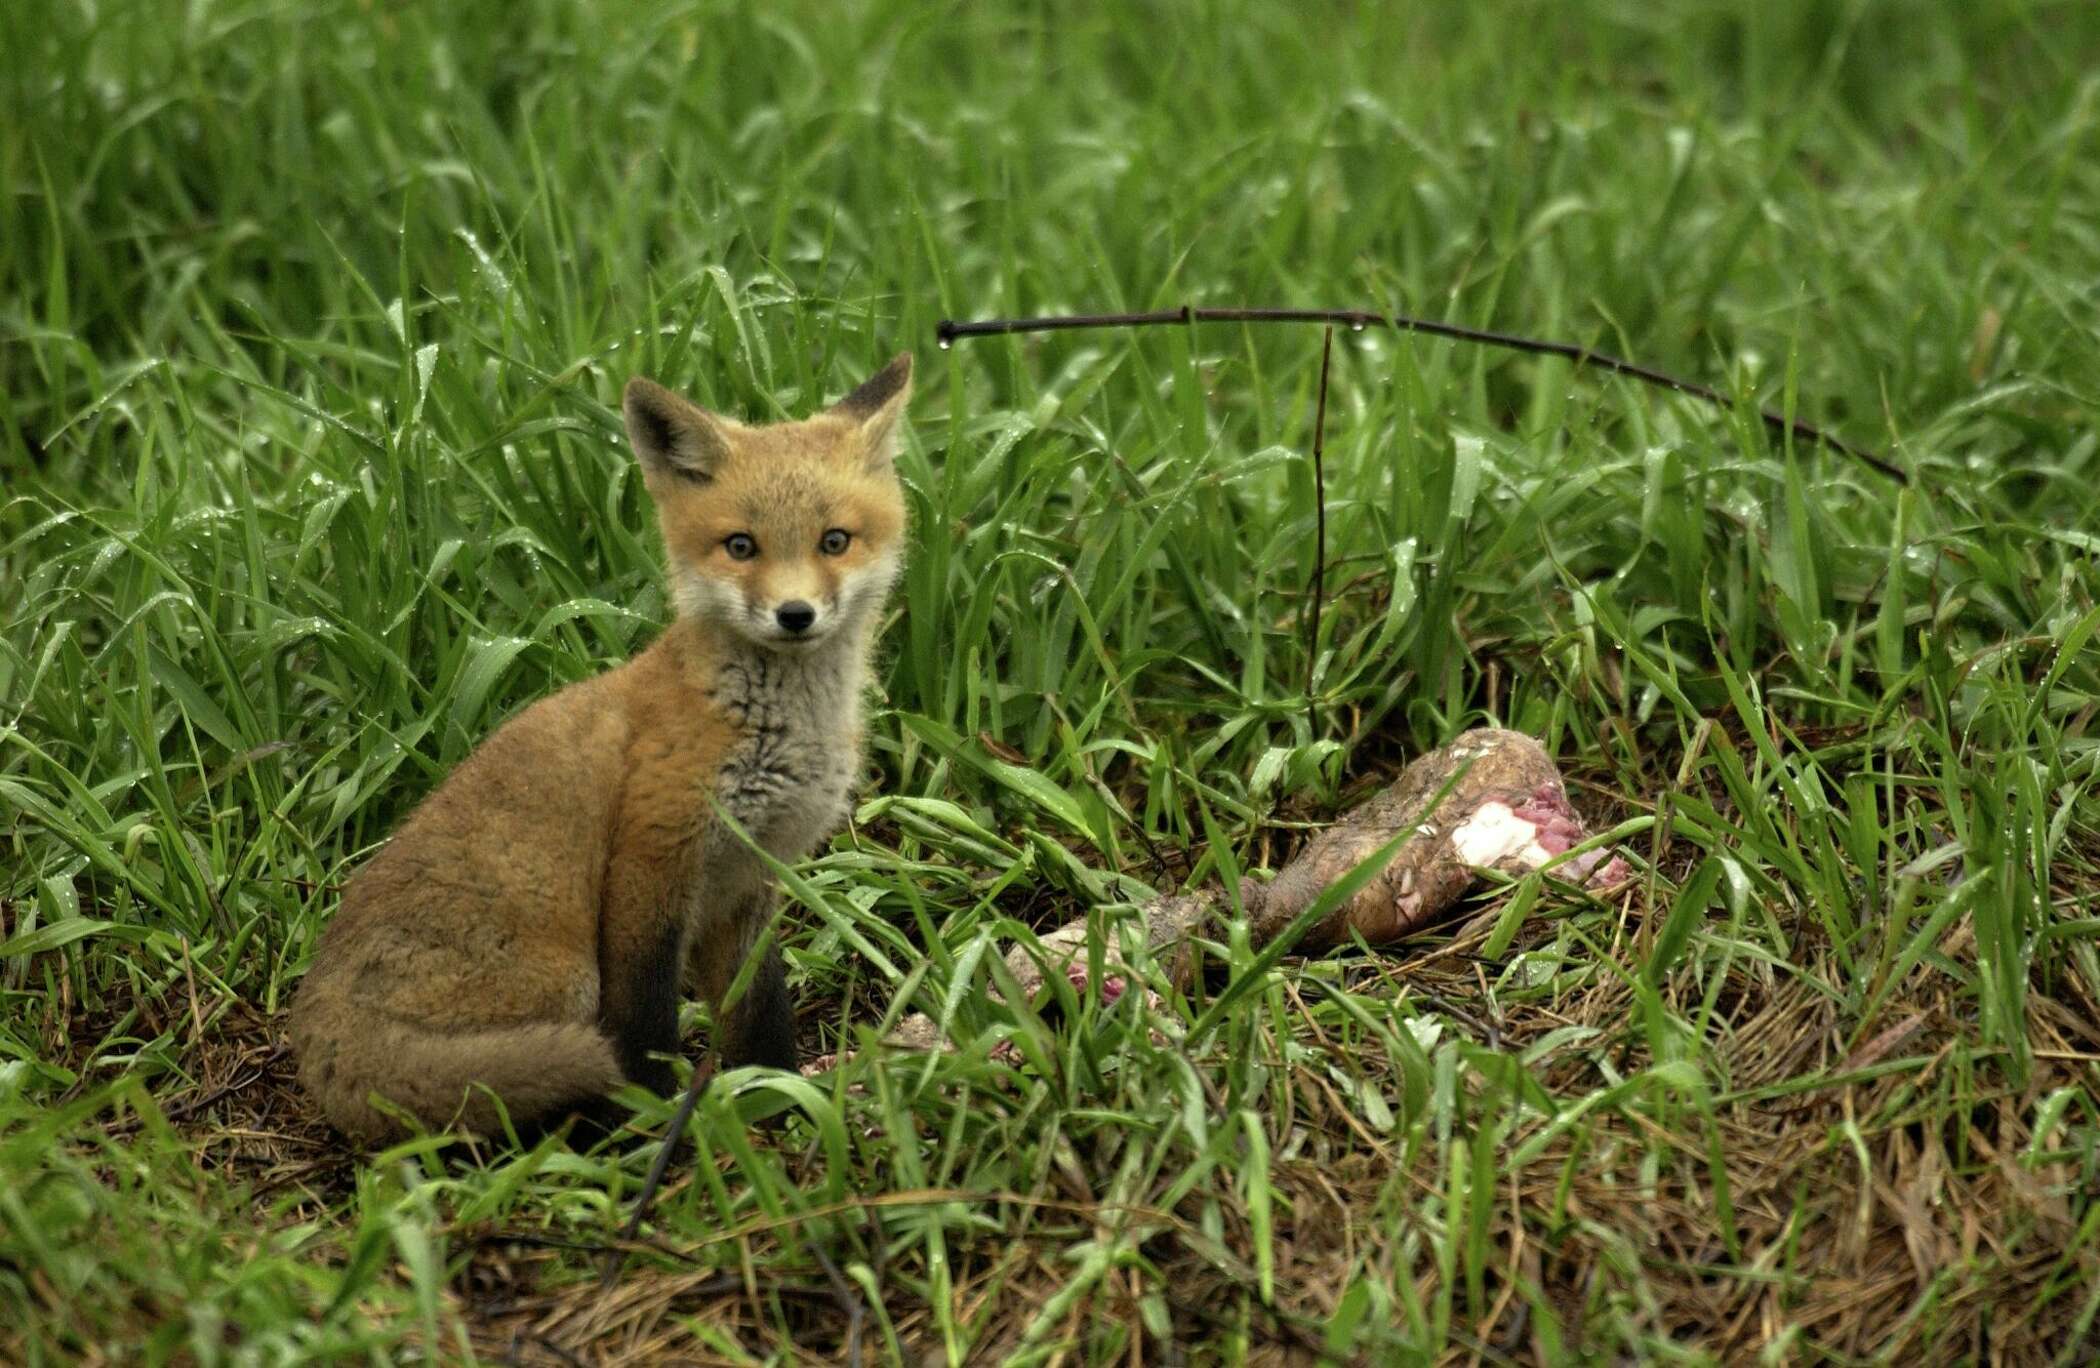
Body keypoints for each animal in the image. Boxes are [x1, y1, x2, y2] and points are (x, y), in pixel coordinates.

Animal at [291, 355, 915, 1143]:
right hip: (564, 972)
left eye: (834, 540)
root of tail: (315, 1034)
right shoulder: (652, 858)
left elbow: (760, 1008)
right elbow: (643, 1018)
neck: (776, 731)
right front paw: (657, 1116)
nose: (795, 614)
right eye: (741, 546)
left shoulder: (747, 879)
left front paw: (780, 1099)